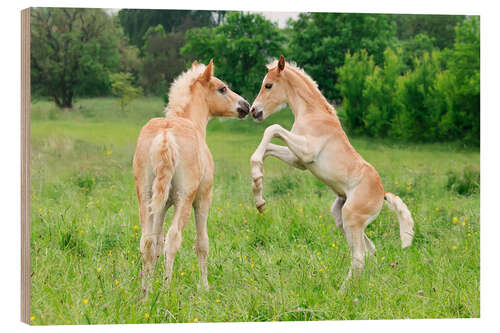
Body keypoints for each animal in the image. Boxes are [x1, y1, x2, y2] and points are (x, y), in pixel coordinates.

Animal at [134, 60, 249, 294]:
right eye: (222, 88)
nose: (246, 106)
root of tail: (165, 136)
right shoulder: (203, 198)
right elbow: (202, 243)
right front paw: (204, 286)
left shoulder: (161, 206)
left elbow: (156, 243)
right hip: (184, 199)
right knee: (173, 238)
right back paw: (166, 290)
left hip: (146, 197)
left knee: (147, 241)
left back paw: (145, 293)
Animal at [250, 55, 414, 290]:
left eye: (268, 85)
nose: (254, 111)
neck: (313, 113)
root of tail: (382, 194)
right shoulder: (299, 159)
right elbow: (269, 148)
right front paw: (258, 194)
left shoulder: (306, 151)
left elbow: (272, 129)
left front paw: (257, 178)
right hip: (341, 217)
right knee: (369, 250)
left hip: (351, 218)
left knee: (359, 258)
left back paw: (342, 292)